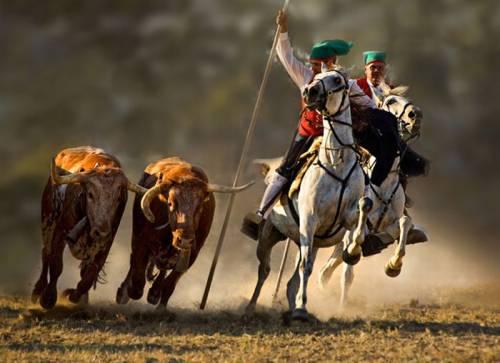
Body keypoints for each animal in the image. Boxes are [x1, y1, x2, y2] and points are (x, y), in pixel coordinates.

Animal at [246, 69, 372, 320]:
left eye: (337, 79)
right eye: (316, 77)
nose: (309, 91)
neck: (335, 163)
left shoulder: (345, 218)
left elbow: (365, 205)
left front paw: (353, 250)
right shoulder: (309, 220)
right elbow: (306, 267)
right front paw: (302, 308)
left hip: (306, 240)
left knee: (292, 280)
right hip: (269, 236)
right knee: (265, 270)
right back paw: (251, 307)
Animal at [318, 89, 424, 308]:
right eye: (391, 101)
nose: (416, 115)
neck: (382, 184)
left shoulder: (389, 228)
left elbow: (405, 223)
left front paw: (393, 266)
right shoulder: (352, 232)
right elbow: (348, 272)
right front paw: (342, 306)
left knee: (326, 270)